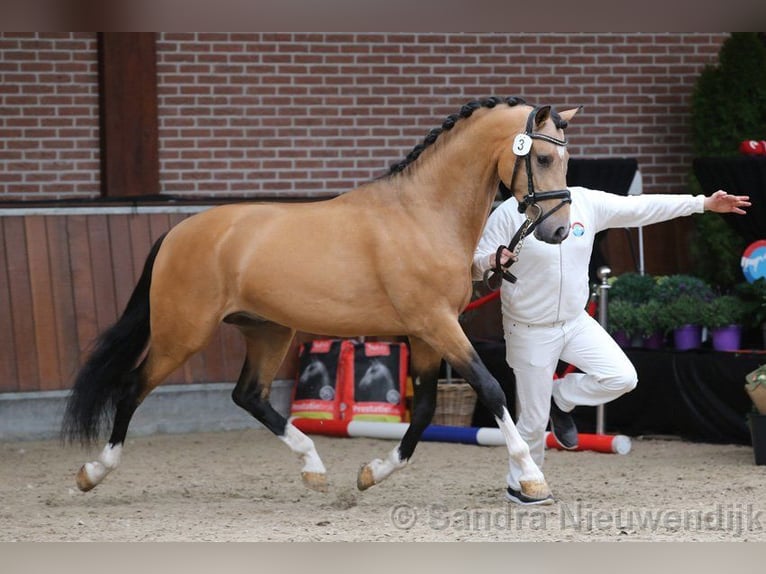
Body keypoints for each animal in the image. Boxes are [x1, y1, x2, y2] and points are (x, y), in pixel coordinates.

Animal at [63, 95, 580, 504]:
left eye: (566, 158)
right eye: (542, 158)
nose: (557, 231)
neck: (422, 214)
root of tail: (177, 231)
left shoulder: (426, 333)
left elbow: (425, 410)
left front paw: (371, 473)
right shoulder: (436, 324)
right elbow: (491, 388)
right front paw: (532, 478)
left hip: (268, 330)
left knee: (248, 395)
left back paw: (313, 467)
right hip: (182, 334)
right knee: (132, 387)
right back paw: (92, 472)